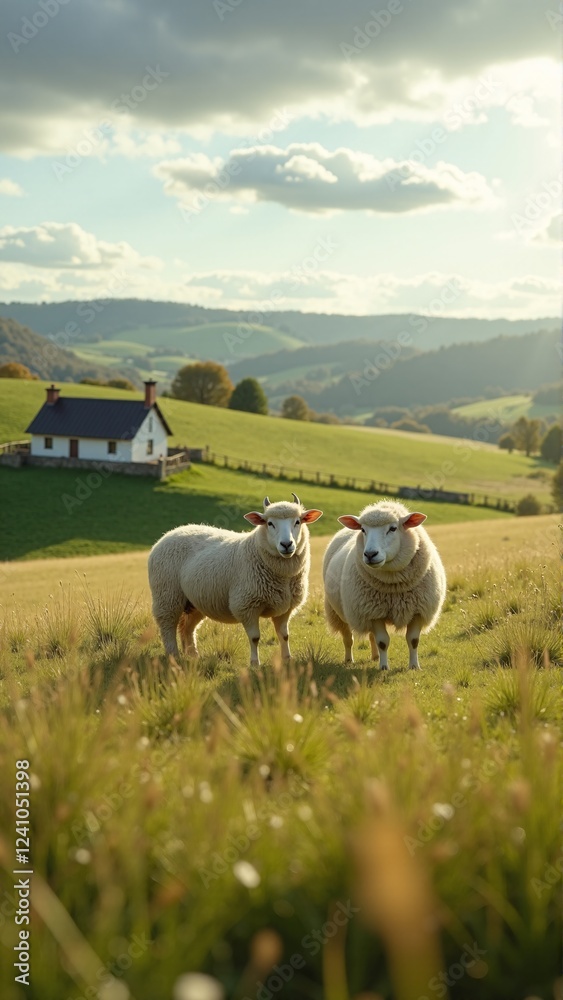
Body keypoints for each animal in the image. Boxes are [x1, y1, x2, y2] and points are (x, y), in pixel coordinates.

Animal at [148, 494, 323, 665]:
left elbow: (284, 636)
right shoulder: (246, 605)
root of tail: (171, 532)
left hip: (195, 601)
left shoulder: (285, 608)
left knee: (187, 628)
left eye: (298, 522)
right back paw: (174, 656)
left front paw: (287, 660)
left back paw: (193, 656)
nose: (286, 544)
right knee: (167, 626)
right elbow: (255, 638)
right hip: (167, 596)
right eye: (270, 523)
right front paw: (254, 663)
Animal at [323, 500, 446, 670]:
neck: (394, 585)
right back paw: (349, 659)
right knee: (348, 638)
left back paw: (375, 657)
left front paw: (414, 666)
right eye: (363, 529)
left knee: (371, 636)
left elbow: (413, 640)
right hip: (338, 611)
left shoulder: (418, 611)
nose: (370, 554)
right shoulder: (374, 612)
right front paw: (384, 668)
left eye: (393, 528)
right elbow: (382, 642)